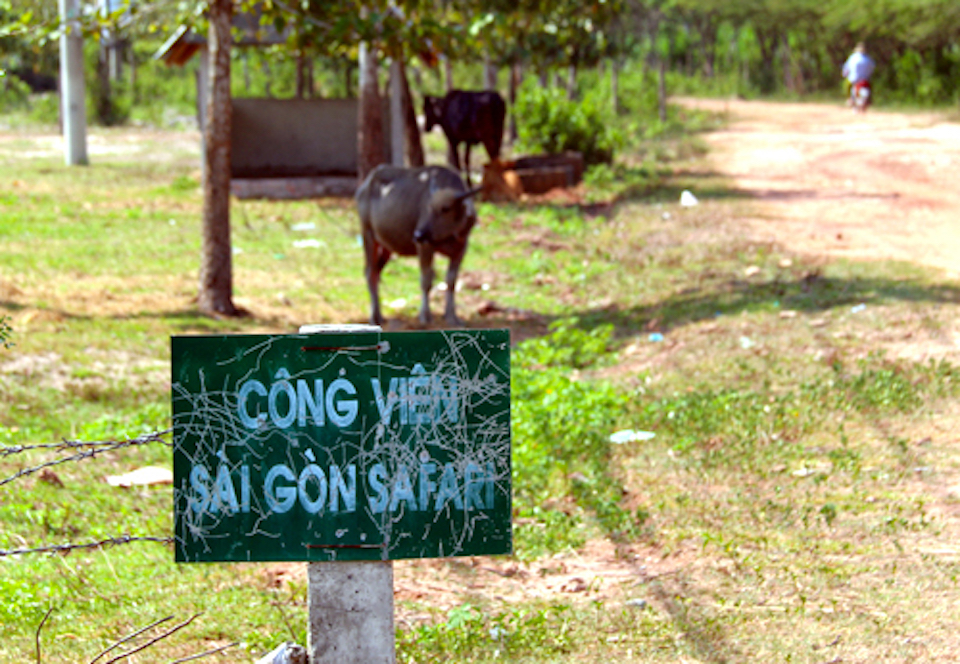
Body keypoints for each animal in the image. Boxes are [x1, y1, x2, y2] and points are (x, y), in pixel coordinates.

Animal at [356, 166, 484, 326]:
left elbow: (451, 281)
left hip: (386, 246)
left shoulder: (460, 250)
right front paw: (425, 315)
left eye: (446, 208)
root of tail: (366, 184)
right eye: (429, 207)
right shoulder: (424, 246)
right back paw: (374, 317)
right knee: (369, 272)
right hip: (368, 235)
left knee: (376, 272)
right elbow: (426, 280)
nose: (418, 234)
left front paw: (451, 316)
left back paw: (379, 315)